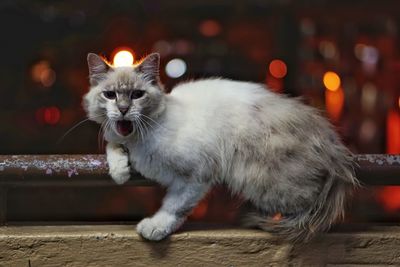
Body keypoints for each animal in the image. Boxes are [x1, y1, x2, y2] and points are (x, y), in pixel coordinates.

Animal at [83, 52, 358, 243]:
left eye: (137, 95)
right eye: (109, 95)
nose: (123, 110)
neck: (139, 139)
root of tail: (333, 144)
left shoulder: (196, 176)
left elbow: (174, 205)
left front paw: (155, 227)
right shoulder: (118, 139)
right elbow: (112, 144)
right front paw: (120, 172)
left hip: (261, 181)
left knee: (311, 203)